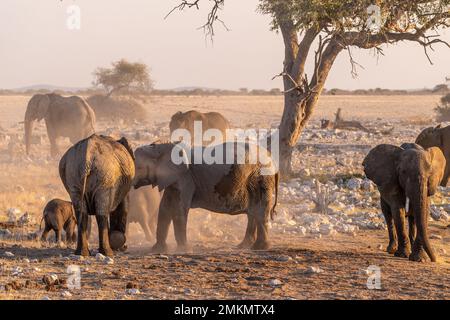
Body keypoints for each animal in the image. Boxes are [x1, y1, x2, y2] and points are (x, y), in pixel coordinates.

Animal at [133, 141, 278, 254]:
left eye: (138, 168)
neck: (161, 146)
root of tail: (272, 159)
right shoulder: (174, 179)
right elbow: (165, 208)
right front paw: (157, 250)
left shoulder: (185, 177)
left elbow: (179, 209)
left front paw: (184, 250)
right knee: (253, 212)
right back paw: (243, 247)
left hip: (261, 177)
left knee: (260, 210)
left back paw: (259, 248)